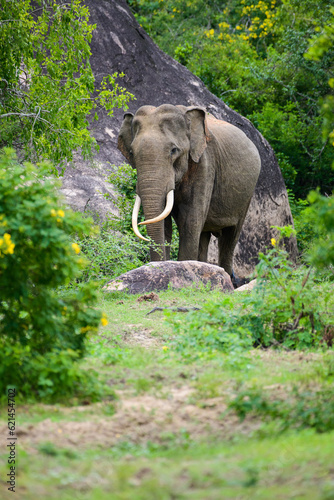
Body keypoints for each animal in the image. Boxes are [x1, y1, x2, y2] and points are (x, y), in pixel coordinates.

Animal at [117, 105, 260, 278]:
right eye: (131, 153)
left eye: (173, 150)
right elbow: (165, 222)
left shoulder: (205, 165)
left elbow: (190, 220)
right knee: (204, 234)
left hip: (247, 195)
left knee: (230, 236)